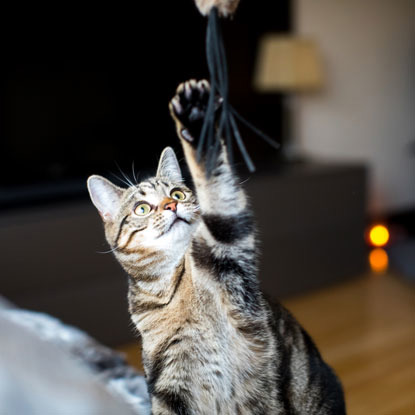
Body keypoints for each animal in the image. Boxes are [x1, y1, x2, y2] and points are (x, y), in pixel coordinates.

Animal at [88, 79, 348, 414]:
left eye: (177, 193)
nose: (171, 205)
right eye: (142, 209)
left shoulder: (233, 260)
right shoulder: (168, 382)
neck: (174, 284)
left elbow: (216, 183)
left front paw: (196, 120)